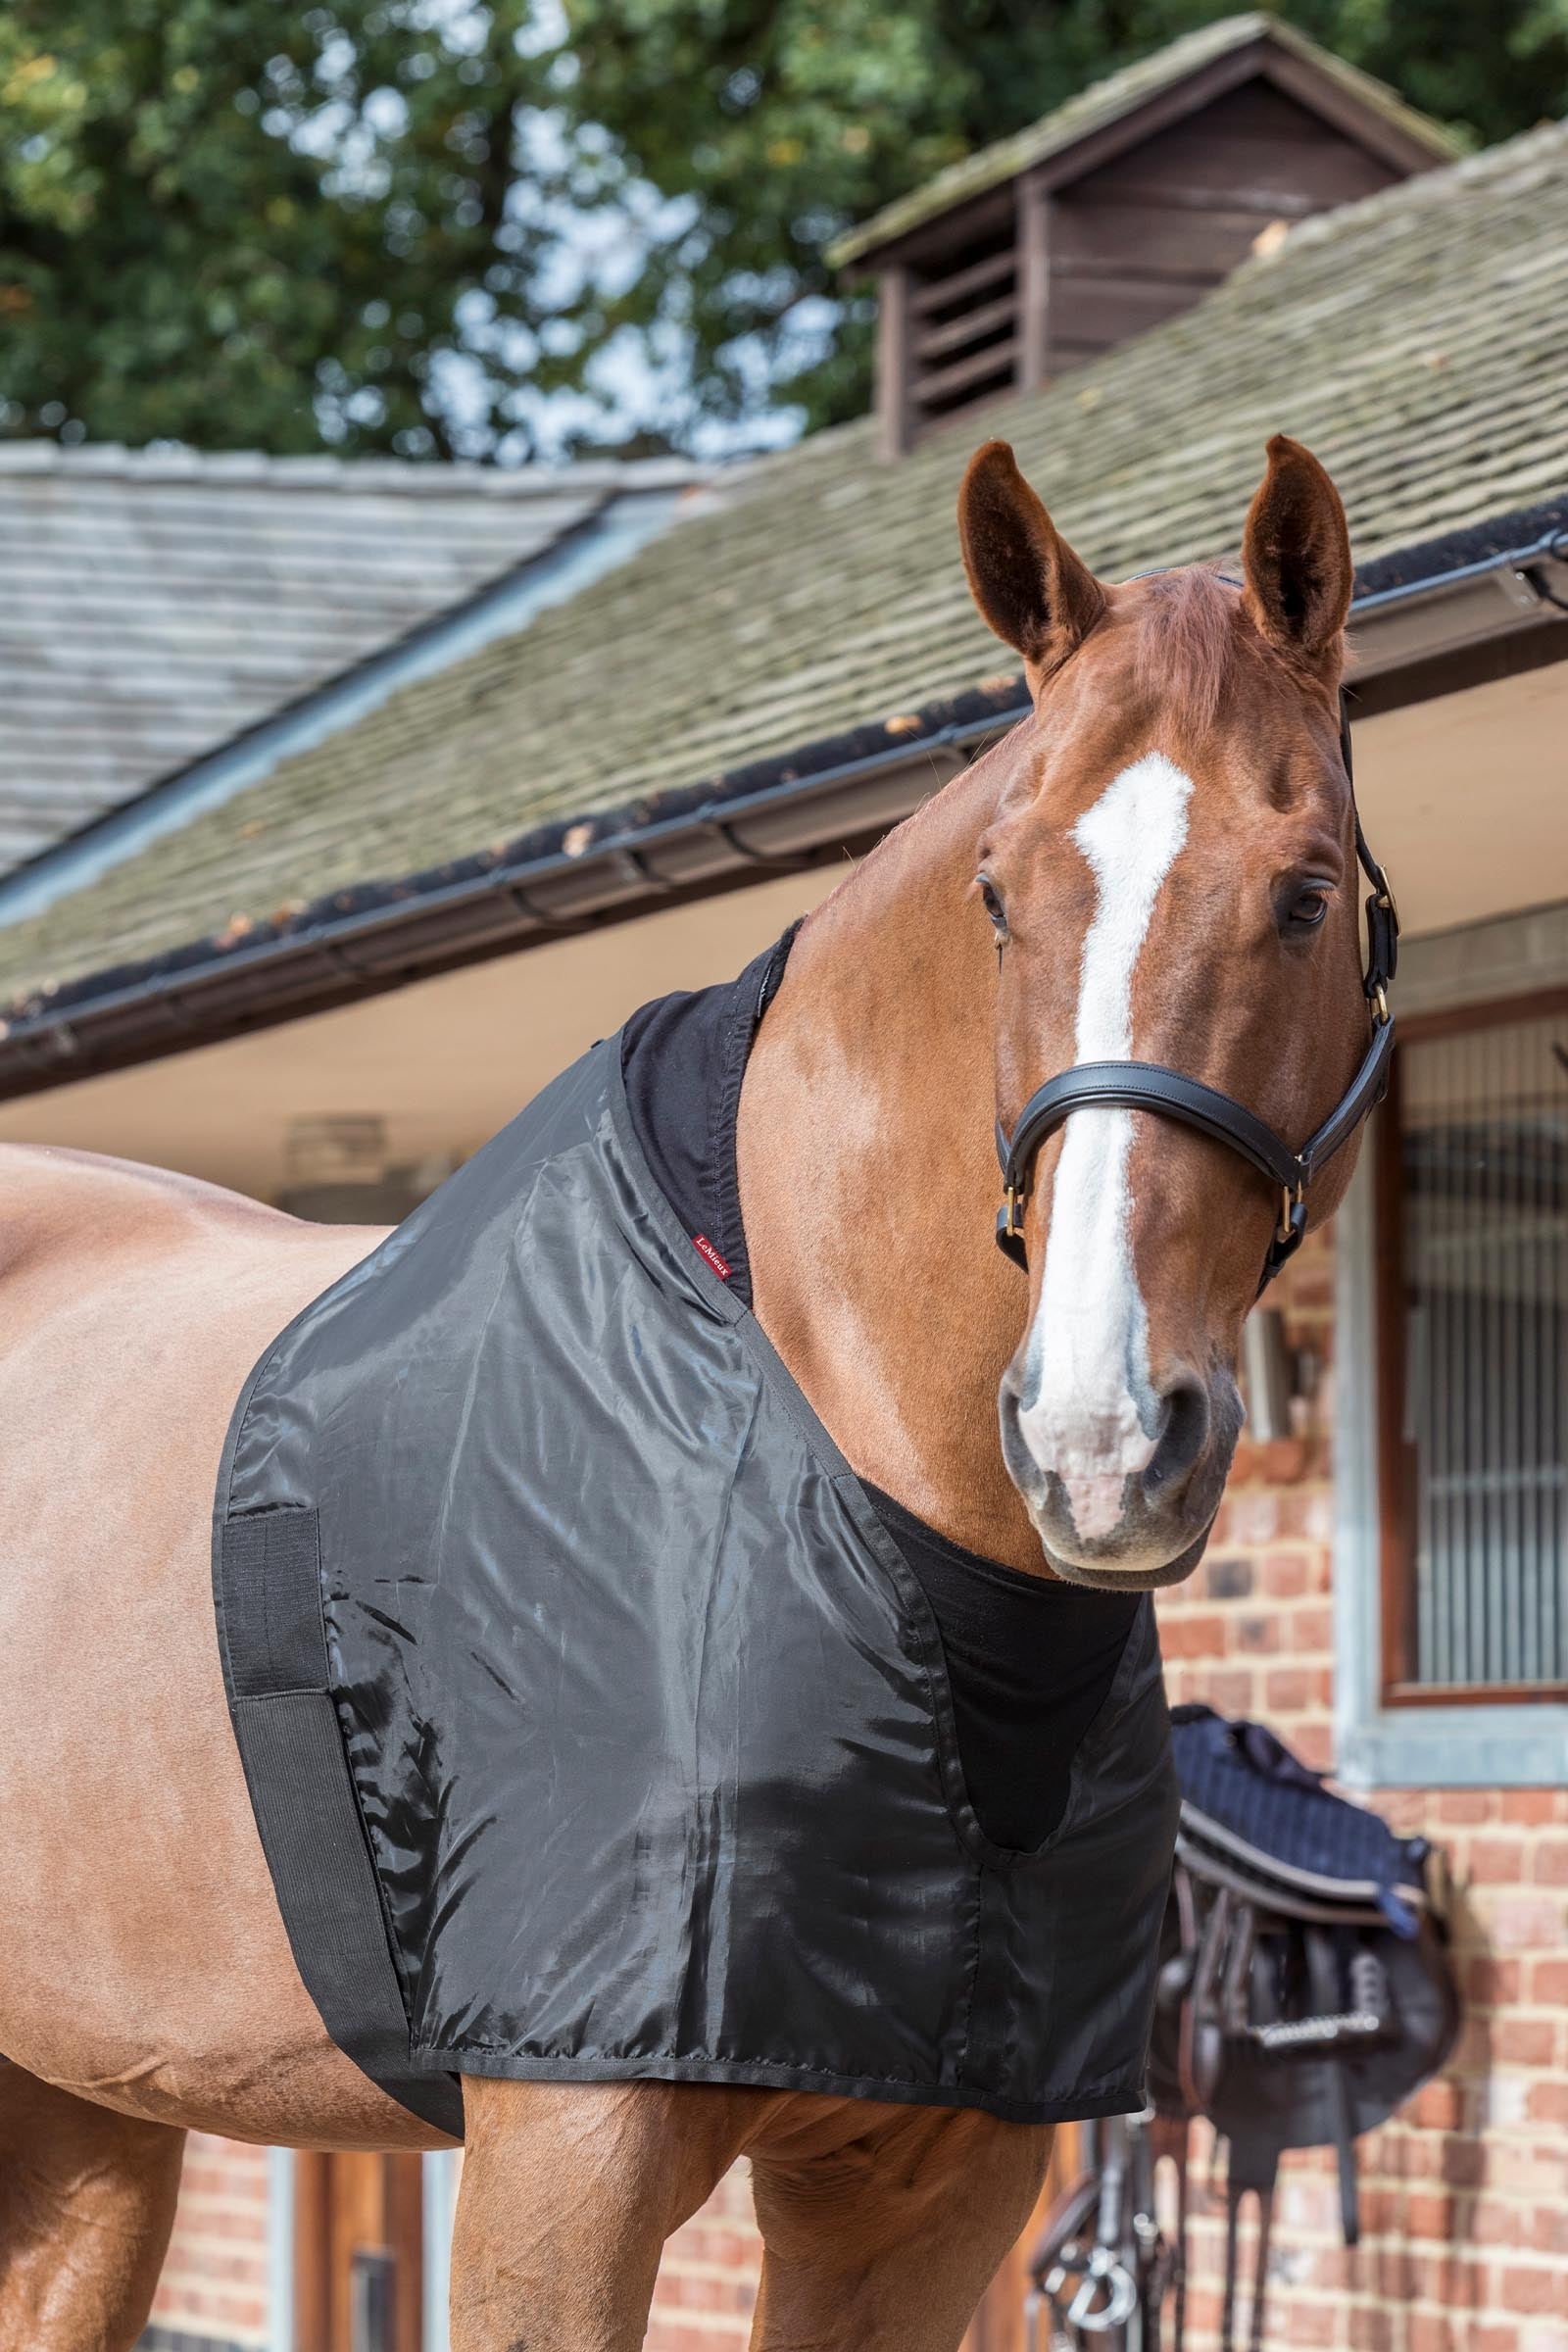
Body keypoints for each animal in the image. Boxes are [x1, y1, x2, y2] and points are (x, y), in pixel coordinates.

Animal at [0, 432, 1374, 2351]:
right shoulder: (562, 2155)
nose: (1099, 1440)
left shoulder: (934, 2188)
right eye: (1001, 896)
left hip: (84, 2120)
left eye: (1306, 891)